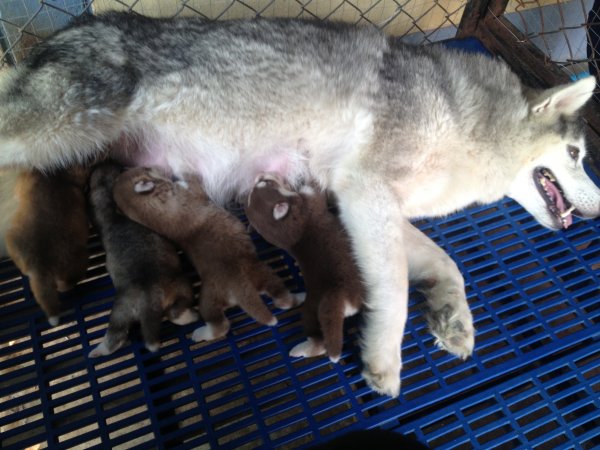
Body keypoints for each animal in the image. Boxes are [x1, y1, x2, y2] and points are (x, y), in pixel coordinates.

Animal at [88, 162, 198, 356]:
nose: (105, 161)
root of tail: (149, 297)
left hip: (120, 311)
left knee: (115, 334)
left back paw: (99, 350)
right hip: (182, 287)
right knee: (175, 313)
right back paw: (192, 315)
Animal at [112, 167, 302, 341]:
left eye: (137, 168)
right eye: (145, 168)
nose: (154, 166)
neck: (153, 214)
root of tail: (237, 287)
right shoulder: (192, 191)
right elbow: (192, 181)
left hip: (259, 276)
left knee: (283, 300)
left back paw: (299, 297)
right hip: (214, 297)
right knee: (221, 326)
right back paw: (200, 334)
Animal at [245, 174, 364, 363]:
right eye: (266, 183)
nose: (261, 175)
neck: (280, 226)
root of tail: (339, 295)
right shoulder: (308, 202)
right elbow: (313, 189)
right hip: (311, 310)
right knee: (319, 343)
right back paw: (302, 349)